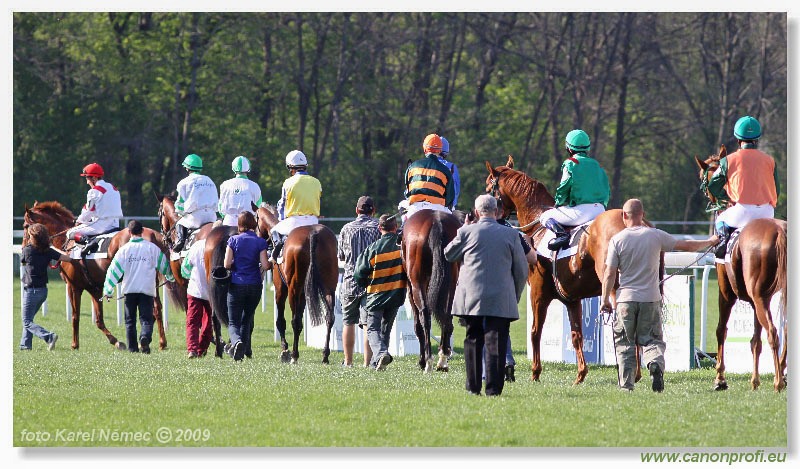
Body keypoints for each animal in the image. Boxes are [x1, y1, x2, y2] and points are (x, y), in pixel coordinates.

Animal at [23, 199, 177, 350]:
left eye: (25, 226)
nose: (24, 247)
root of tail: (152, 234)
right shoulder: (95, 289)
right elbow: (98, 319)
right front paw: (116, 341)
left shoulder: (73, 286)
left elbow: (75, 316)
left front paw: (75, 344)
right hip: (151, 282)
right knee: (156, 309)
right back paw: (158, 342)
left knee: (153, 309)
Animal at [252, 204, 336, 362]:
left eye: (255, 220)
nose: (256, 235)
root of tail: (313, 234)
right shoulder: (303, 293)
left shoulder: (280, 288)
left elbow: (281, 321)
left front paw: (285, 349)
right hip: (329, 287)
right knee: (330, 317)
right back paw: (325, 355)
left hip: (293, 289)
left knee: (295, 321)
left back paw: (294, 355)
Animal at [398, 208, 460, 372]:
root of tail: (436, 221)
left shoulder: (411, 287)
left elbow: (417, 324)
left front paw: (421, 360)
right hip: (452, 283)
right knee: (447, 316)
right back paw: (442, 360)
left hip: (416, 283)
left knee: (425, 316)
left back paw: (428, 361)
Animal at [484, 155, 636, 382]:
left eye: (488, 188)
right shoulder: (572, 299)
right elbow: (576, 335)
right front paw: (580, 374)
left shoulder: (538, 292)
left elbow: (535, 331)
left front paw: (535, 372)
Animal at [692, 146, 788, 392]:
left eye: (704, 176)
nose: (707, 196)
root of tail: (778, 231)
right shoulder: (754, 302)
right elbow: (754, 339)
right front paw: (754, 380)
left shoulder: (726, 292)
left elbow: (721, 329)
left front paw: (720, 378)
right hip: (768, 296)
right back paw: (781, 374)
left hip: (760, 295)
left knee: (774, 332)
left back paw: (778, 381)